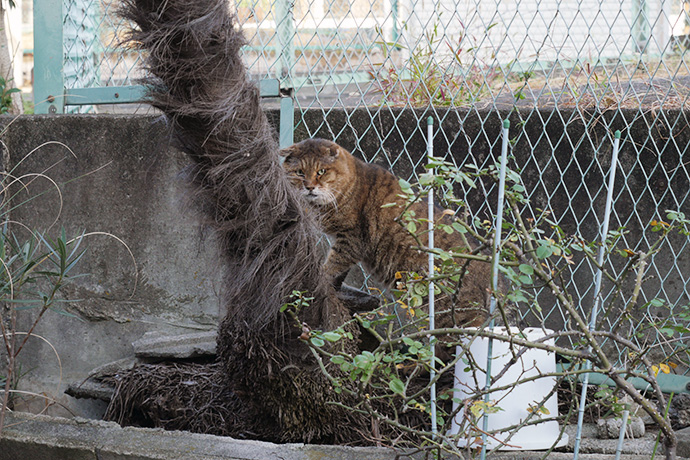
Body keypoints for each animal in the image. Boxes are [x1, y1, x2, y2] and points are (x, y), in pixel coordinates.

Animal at [280, 137, 494, 328]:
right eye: (299, 172)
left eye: (321, 171)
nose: (309, 187)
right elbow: (338, 272)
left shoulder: (351, 239)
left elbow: (332, 265)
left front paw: (318, 282)